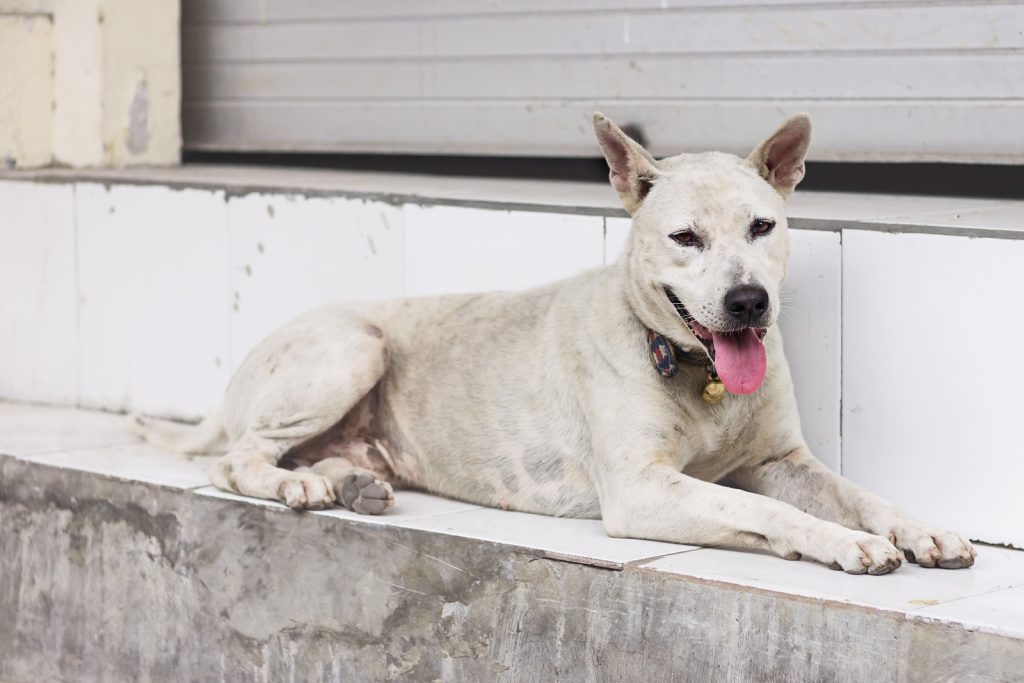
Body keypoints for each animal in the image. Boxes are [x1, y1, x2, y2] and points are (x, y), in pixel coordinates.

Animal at [138, 114, 974, 573]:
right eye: (685, 238)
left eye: (763, 226)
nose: (747, 301)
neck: (691, 367)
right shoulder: (643, 489)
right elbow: (773, 513)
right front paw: (845, 544)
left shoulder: (781, 459)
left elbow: (859, 494)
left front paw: (921, 526)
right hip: (352, 347)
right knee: (238, 458)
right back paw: (301, 486)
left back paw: (349, 483)